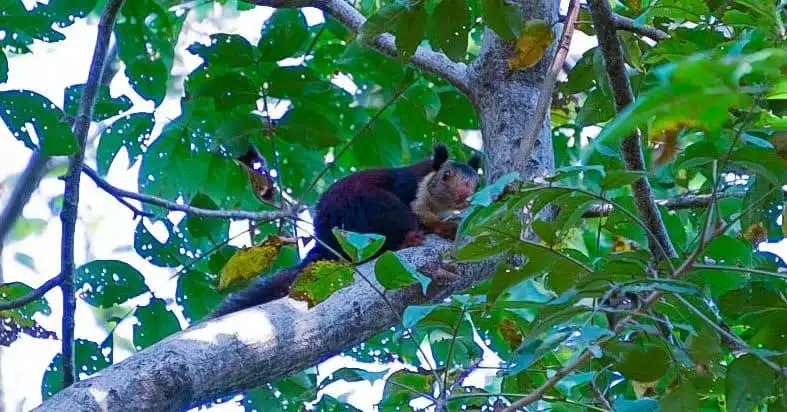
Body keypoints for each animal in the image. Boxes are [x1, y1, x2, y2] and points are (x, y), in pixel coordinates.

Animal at [209, 144, 482, 318]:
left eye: (476, 182)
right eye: (446, 176)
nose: (464, 195)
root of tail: (326, 243)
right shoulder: (409, 189)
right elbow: (420, 216)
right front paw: (445, 227)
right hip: (365, 211)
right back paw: (408, 238)